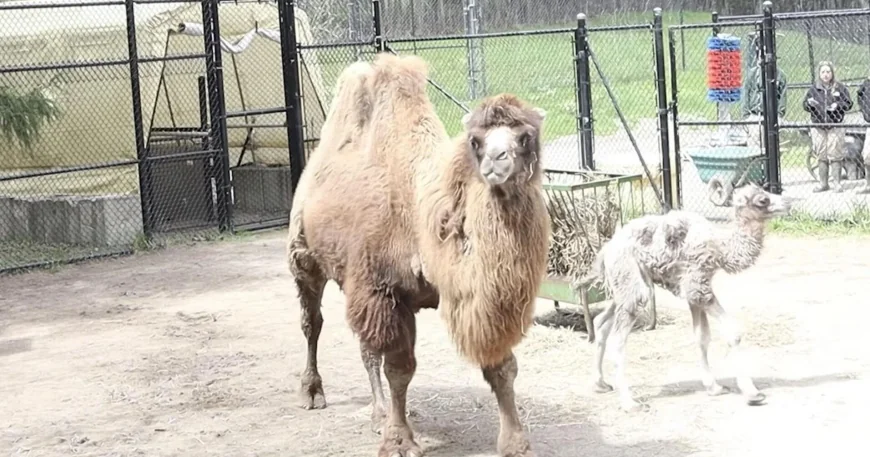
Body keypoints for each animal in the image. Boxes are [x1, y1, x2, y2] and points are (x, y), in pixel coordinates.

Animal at [287, 53, 550, 457]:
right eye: (475, 141)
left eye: (526, 136)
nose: (496, 160)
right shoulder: (384, 291)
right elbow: (399, 369)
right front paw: (399, 441)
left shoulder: (470, 299)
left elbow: (501, 365)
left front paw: (516, 443)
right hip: (304, 258)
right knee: (312, 323)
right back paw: (314, 393)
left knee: (365, 347)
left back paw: (378, 413)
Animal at [577, 183, 790, 412]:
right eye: (762, 200)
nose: (788, 202)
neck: (720, 248)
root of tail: (606, 250)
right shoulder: (698, 286)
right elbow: (732, 333)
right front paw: (752, 393)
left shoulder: (692, 291)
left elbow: (702, 336)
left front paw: (714, 387)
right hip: (632, 282)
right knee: (618, 340)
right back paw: (630, 403)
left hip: (625, 286)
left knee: (601, 322)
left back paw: (600, 384)